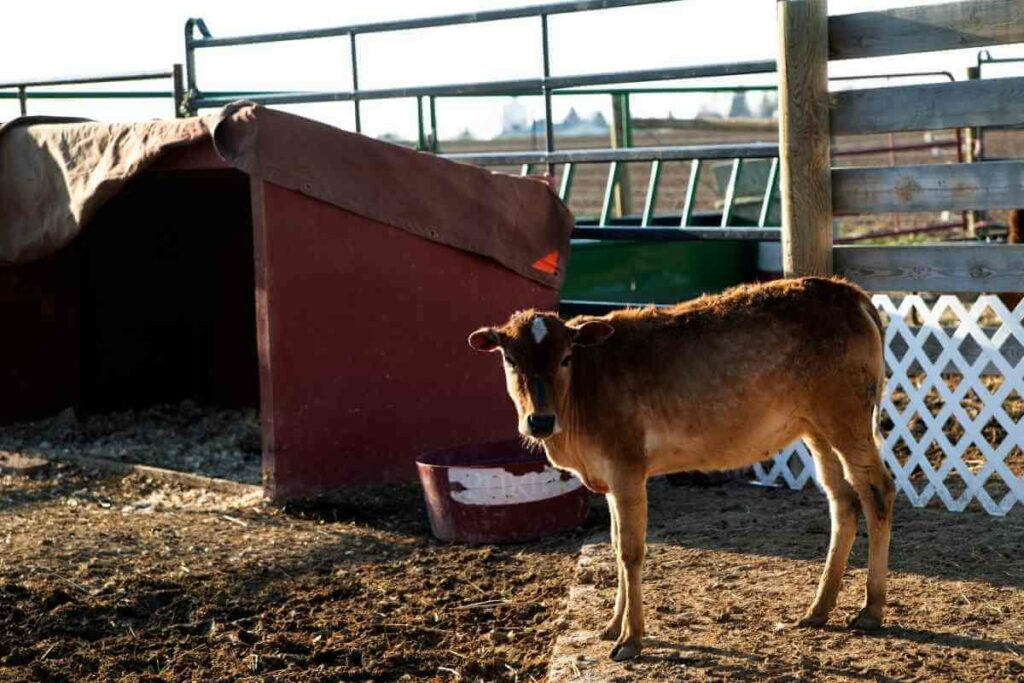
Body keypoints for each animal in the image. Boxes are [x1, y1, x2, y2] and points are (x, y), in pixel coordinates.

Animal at [468, 278, 892, 663]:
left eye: (565, 358)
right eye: (510, 360)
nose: (539, 421)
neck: (582, 393)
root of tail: (849, 292)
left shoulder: (626, 467)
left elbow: (631, 551)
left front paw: (631, 639)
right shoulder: (610, 480)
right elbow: (615, 544)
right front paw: (612, 625)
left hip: (846, 417)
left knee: (877, 490)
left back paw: (871, 610)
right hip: (815, 426)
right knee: (842, 500)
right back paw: (817, 610)